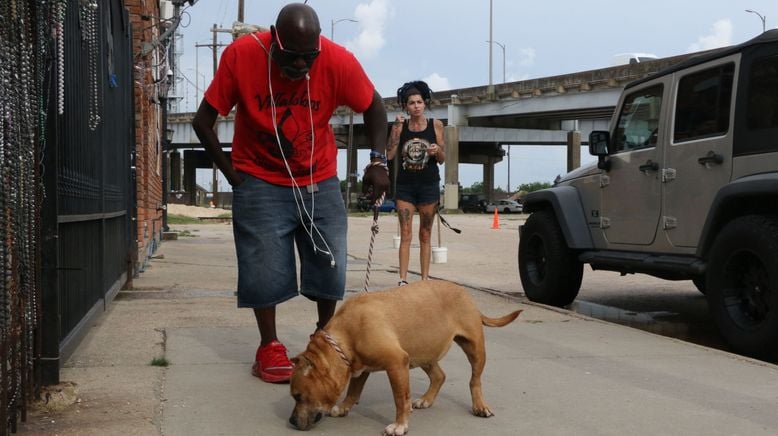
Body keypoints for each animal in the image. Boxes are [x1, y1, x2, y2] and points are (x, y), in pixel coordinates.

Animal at [288, 282, 520, 434]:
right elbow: (354, 390)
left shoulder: (396, 363)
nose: (290, 420)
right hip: (422, 352)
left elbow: (400, 398)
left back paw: (480, 406)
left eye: (298, 396)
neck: (346, 336)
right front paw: (344, 407)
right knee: (439, 376)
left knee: (475, 380)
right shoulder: (361, 367)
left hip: (474, 348)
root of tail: (464, 293)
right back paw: (426, 399)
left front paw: (400, 425)